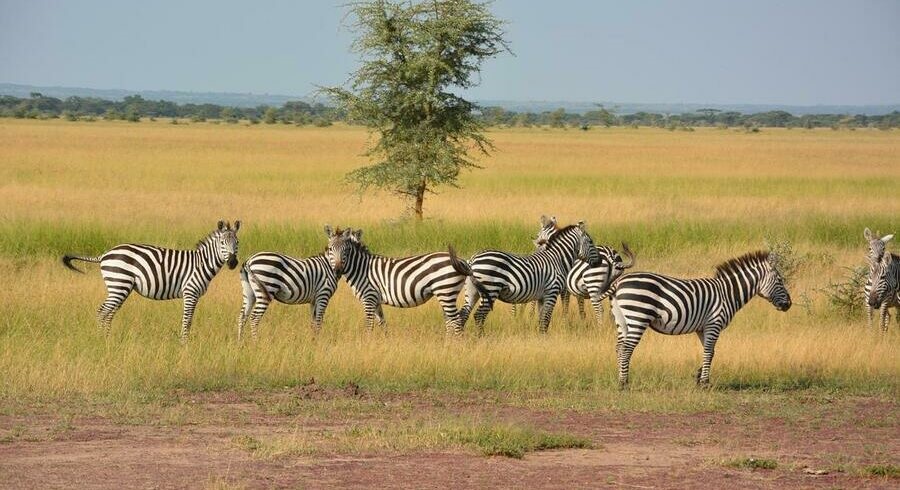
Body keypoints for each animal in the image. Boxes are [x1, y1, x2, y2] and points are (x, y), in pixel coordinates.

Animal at [62, 220, 243, 342]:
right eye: (222, 243)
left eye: (237, 242)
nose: (233, 263)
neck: (202, 263)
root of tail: (105, 254)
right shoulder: (190, 293)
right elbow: (187, 320)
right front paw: (184, 344)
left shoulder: (194, 295)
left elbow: (188, 320)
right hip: (119, 284)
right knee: (103, 311)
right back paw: (102, 339)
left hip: (119, 287)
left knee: (109, 312)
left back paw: (107, 338)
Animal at [324, 227, 478, 334]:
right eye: (330, 249)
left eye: (346, 251)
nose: (338, 270)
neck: (361, 268)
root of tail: (462, 261)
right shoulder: (376, 300)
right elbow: (382, 323)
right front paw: (384, 342)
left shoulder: (368, 298)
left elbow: (369, 325)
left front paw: (366, 343)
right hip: (446, 294)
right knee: (451, 320)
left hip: (446, 290)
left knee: (456, 320)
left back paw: (454, 346)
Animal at [458, 221, 612, 334]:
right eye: (591, 242)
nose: (600, 261)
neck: (557, 259)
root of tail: (473, 259)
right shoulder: (552, 292)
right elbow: (546, 319)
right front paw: (544, 339)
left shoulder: (541, 297)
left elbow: (541, 319)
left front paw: (540, 338)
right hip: (490, 290)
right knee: (479, 316)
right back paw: (480, 337)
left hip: (472, 292)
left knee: (464, 314)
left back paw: (461, 338)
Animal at [608, 251, 792, 388]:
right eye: (780, 280)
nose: (789, 304)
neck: (727, 293)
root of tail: (619, 282)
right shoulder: (714, 324)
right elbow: (709, 352)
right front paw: (704, 383)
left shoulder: (702, 328)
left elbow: (710, 352)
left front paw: (698, 376)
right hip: (638, 317)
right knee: (626, 349)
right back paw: (624, 384)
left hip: (622, 321)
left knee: (619, 348)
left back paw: (620, 380)